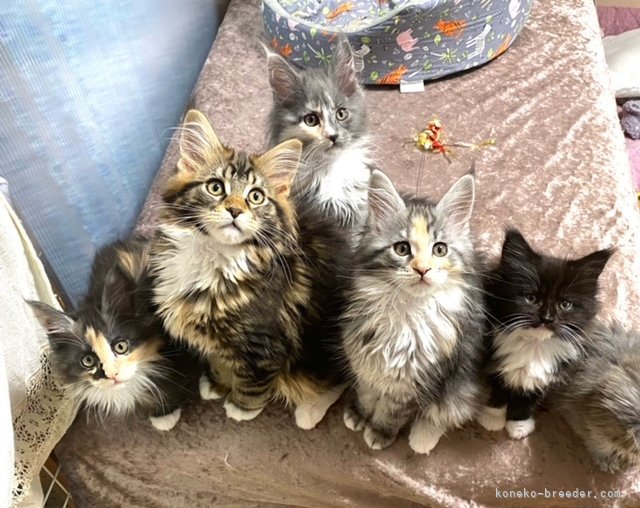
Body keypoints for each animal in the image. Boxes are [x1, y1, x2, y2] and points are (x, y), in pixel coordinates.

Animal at [151, 109, 338, 429]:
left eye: (256, 196)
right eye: (215, 187)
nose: (235, 210)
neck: (215, 259)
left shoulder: (260, 344)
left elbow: (252, 383)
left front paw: (241, 409)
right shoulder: (217, 342)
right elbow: (220, 363)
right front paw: (217, 385)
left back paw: (309, 410)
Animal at [341, 170, 484, 453]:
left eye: (440, 249)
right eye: (401, 248)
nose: (422, 269)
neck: (406, 315)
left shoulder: (417, 382)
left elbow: (393, 411)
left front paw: (379, 432)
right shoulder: (364, 359)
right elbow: (367, 392)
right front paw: (360, 414)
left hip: (460, 388)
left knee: (448, 411)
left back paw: (421, 438)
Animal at [477, 230, 614, 439]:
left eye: (565, 304)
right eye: (531, 298)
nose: (547, 318)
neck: (534, 346)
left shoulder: (552, 375)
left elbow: (530, 398)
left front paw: (519, 424)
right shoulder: (494, 360)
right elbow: (499, 390)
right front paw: (492, 417)